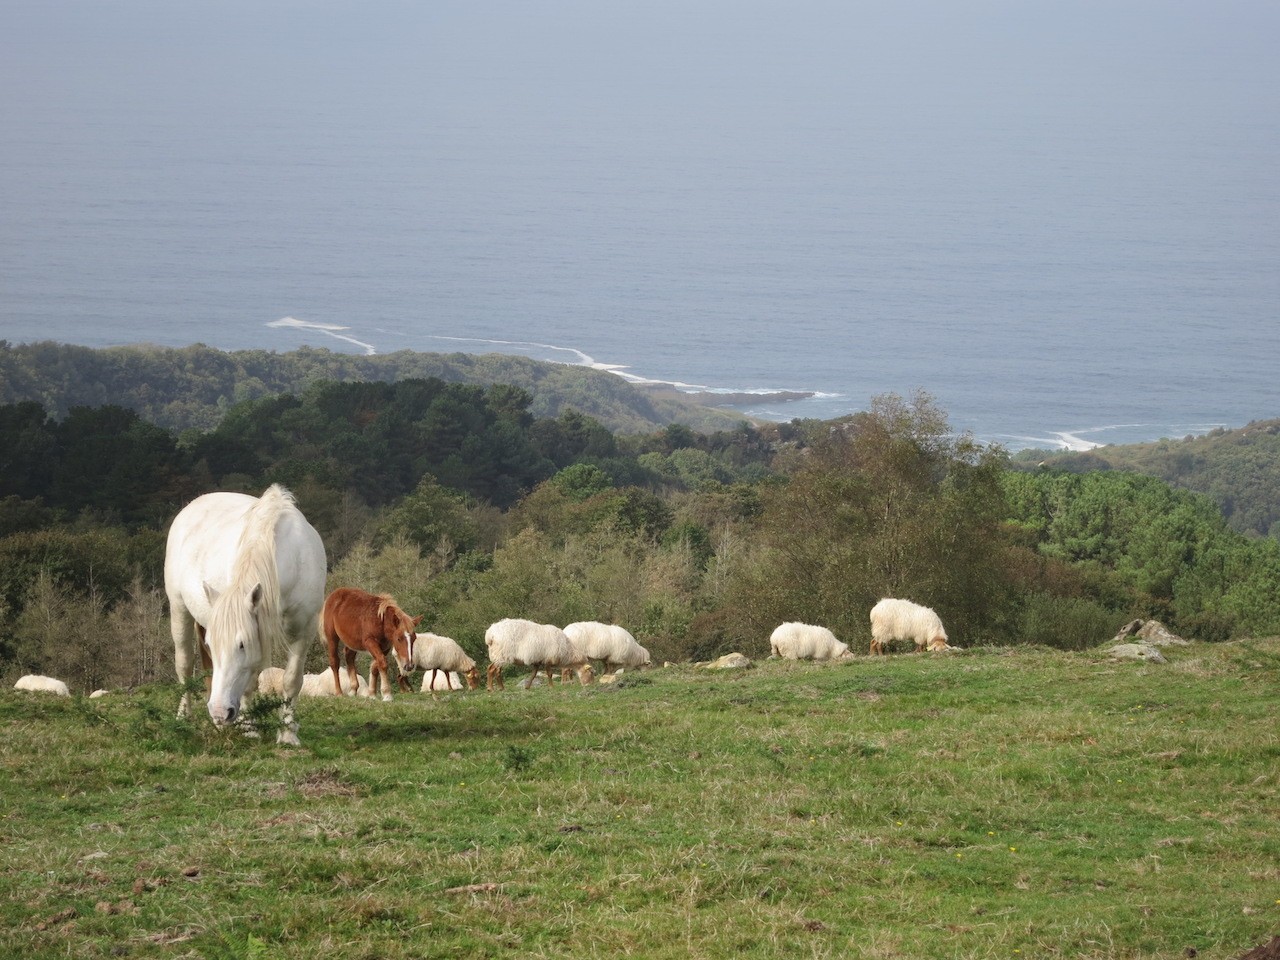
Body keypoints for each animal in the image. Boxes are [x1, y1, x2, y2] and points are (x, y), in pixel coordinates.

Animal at [162, 483, 325, 747]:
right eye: (212, 644)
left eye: (241, 645)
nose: (220, 712)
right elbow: (249, 684)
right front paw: (249, 728)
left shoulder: (303, 630)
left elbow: (291, 681)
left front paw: (288, 733)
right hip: (179, 609)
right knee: (185, 665)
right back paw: (184, 716)